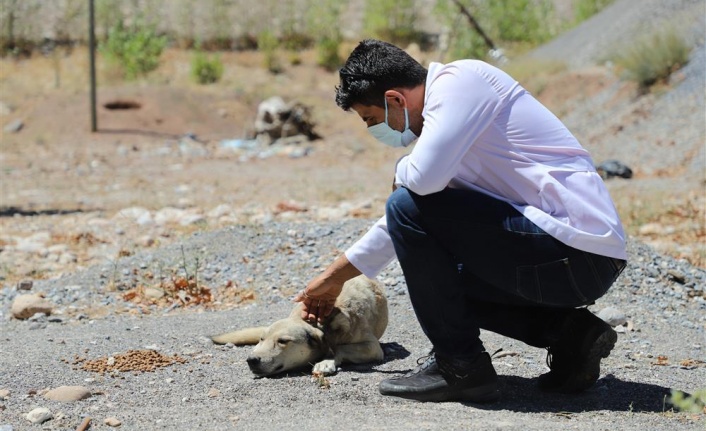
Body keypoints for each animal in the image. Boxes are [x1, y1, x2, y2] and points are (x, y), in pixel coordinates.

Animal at [212, 276, 388, 378]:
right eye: (262, 339)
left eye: (283, 341)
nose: (251, 360)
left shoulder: (372, 347)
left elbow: (339, 348)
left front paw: (326, 361)